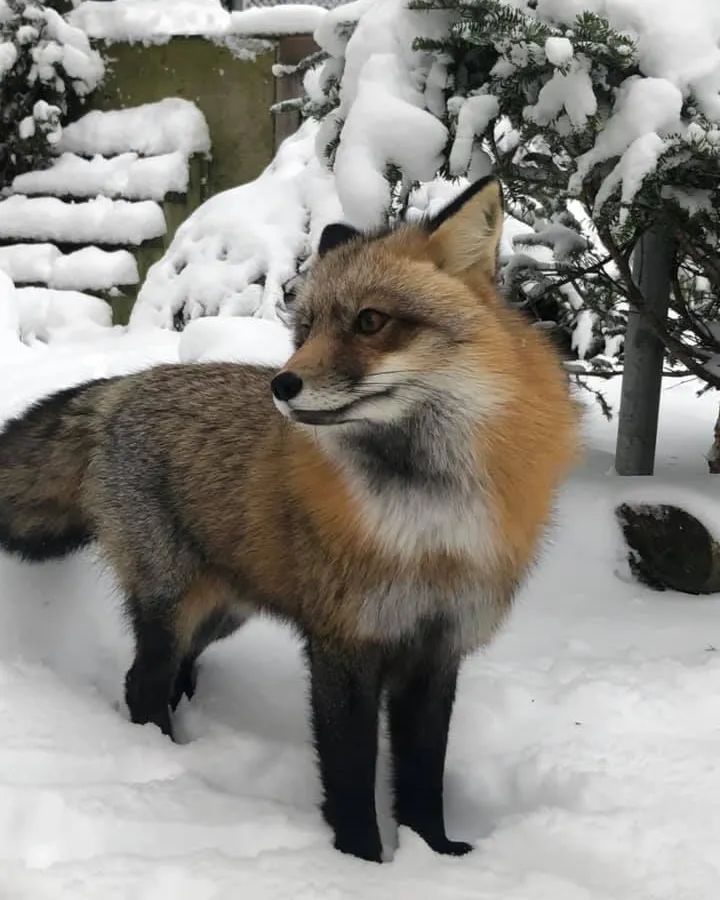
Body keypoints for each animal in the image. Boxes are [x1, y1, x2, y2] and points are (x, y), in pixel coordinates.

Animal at [0, 177, 577, 862]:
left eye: (370, 321)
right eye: (304, 330)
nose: (281, 384)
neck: (427, 522)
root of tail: (125, 385)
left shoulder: (437, 649)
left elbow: (421, 774)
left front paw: (434, 853)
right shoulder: (343, 643)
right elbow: (350, 773)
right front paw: (361, 863)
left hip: (221, 612)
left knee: (171, 675)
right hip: (174, 602)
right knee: (142, 683)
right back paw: (167, 770)